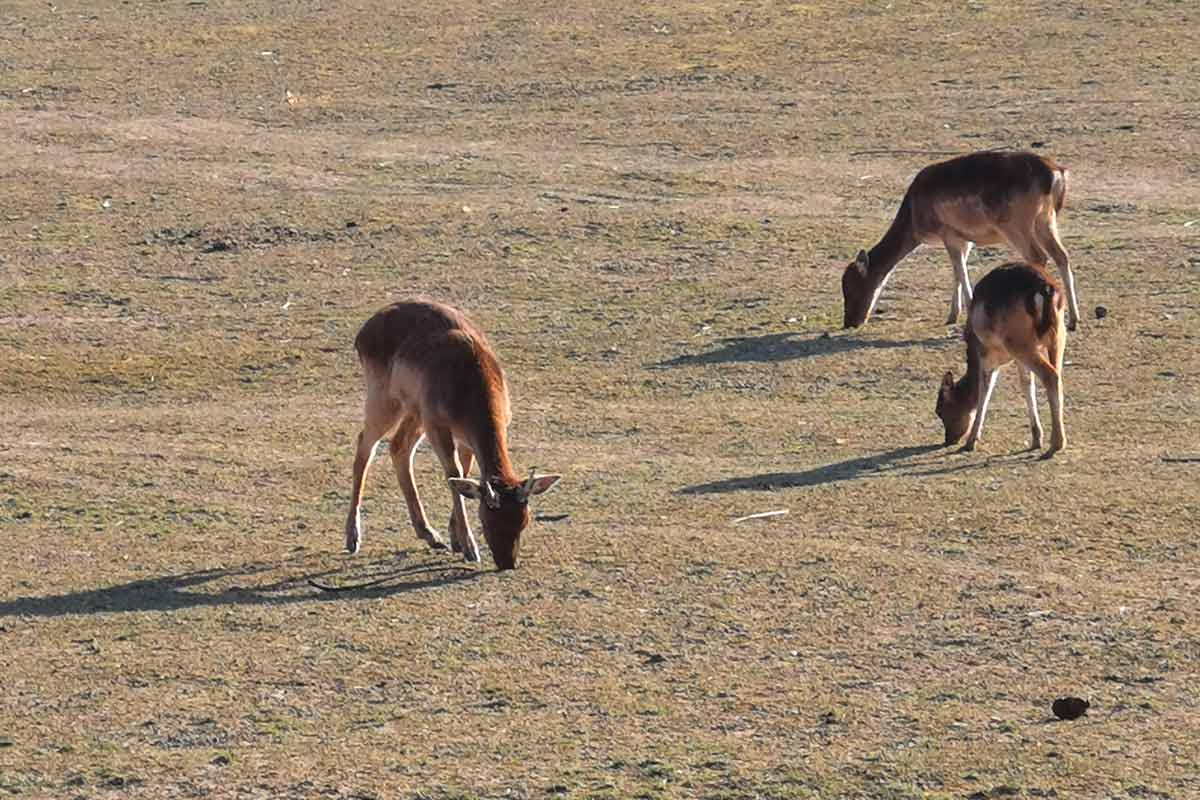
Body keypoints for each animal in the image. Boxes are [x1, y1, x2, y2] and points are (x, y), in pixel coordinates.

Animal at [343, 298, 556, 568]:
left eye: (524, 521)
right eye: (486, 520)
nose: (506, 563)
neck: (468, 387)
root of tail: (363, 331)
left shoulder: (465, 437)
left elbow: (463, 474)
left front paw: (455, 539)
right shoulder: (438, 426)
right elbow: (453, 474)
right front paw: (470, 548)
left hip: (416, 410)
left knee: (399, 447)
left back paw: (430, 534)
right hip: (386, 401)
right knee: (365, 446)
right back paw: (353, 537)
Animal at [840, 149, 1084, 331]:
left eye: (851, 287)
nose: (850, 322)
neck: (914, 217)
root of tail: (1057, 174)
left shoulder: (948, 232)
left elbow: (959, 269)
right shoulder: (965, 239)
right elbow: (958, 270)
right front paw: (951, 316)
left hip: (1016, 224)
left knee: (1038, 256)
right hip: (1046, 219)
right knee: (1062, 255)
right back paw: (1073, 319)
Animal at [936, 262, 1070, 460]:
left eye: (941, 410)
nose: (948, 440)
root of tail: (1045, 289)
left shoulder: (987, 354)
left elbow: (985, 389)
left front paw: (971, 442)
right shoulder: (1016, 359)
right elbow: (1026, 383)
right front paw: (1036, 438)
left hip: (1019, 343)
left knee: (1050, 376)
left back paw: (1055, 445)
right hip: (1058, 335)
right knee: (1058, 375)